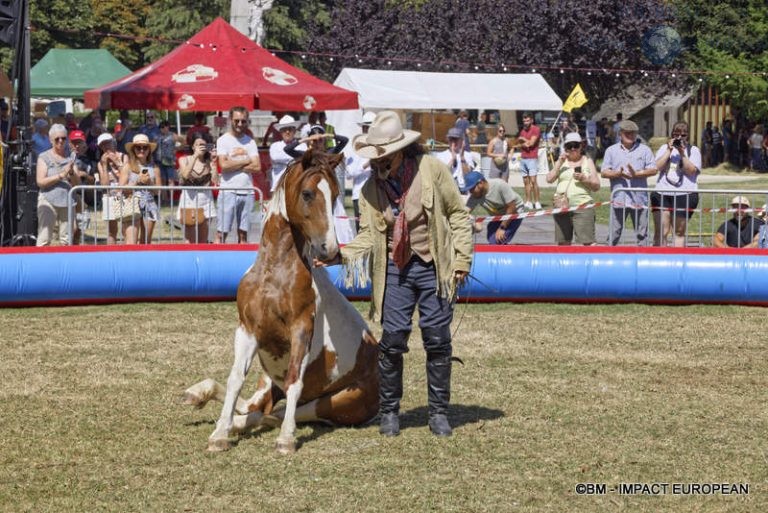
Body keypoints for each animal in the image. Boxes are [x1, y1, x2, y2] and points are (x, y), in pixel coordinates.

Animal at [184, 148, 380, 452]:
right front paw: (219, 434)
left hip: (329, 403)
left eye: (336, 193)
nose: (331, 250)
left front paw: (286, 439)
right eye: (308, 193)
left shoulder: (301, 329)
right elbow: (235, 379)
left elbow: (294, 381)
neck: (274, 274)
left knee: (271, 413)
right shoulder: (247, 330)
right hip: (268, 380)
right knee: (256, 408)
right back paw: (199, 395)